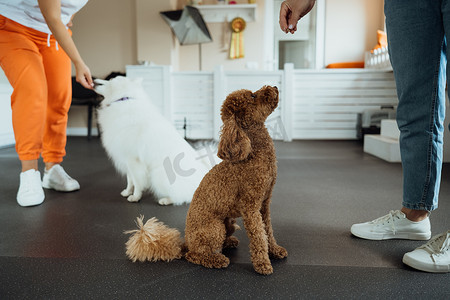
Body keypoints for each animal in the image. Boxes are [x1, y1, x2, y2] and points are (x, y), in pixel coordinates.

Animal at [94, 76, 215, 205]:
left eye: (109, 81)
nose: (94, 81)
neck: (124, 100)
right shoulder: (126, 159)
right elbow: (129, 180)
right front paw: (127, 192)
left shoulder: (133, 160)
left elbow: (136, 182)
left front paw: (135, 197)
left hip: (158, 174)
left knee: (183, 197)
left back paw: (166, 200)